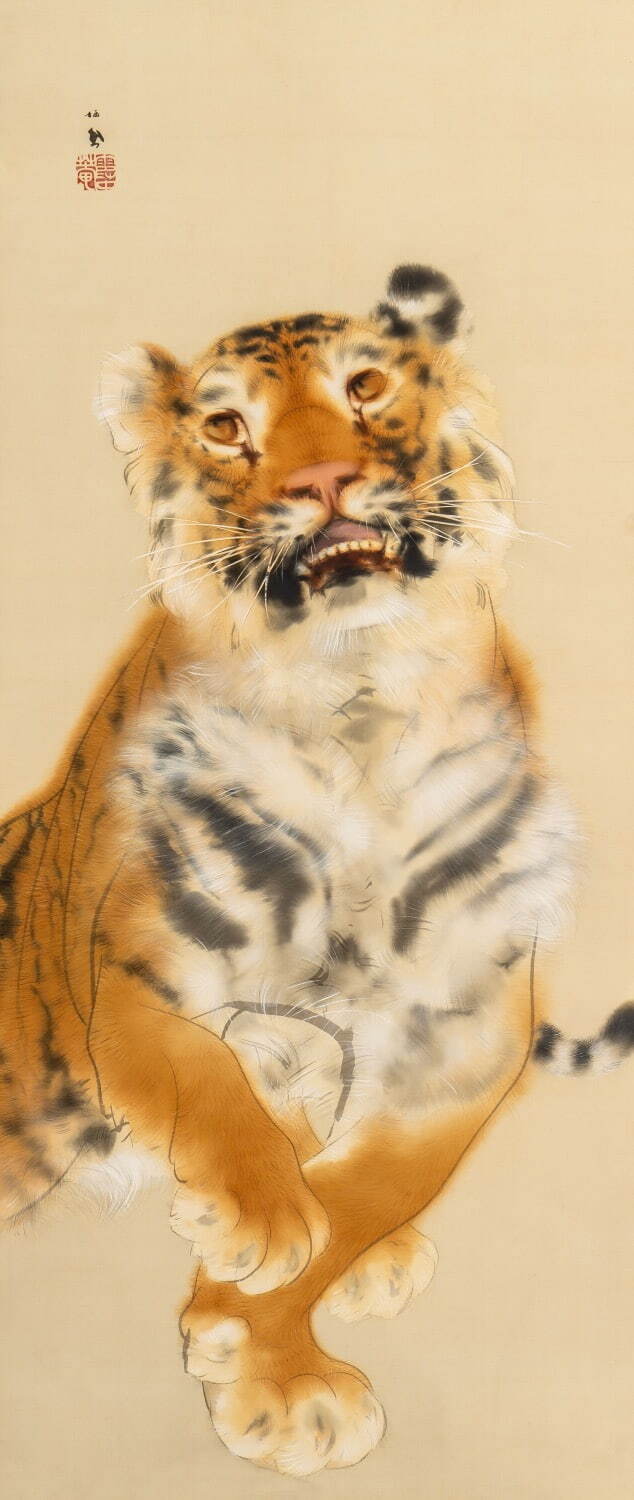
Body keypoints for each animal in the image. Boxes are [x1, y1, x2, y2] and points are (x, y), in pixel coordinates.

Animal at [1, 262, 632, 1477]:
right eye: (226, 427)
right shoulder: (131, 973)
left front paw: (257, 1347)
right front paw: (257, 1230)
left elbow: (371, 1192)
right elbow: (209, 1081)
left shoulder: (467, 1035)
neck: (360, 700)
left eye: (367, 387)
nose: (323, 482)